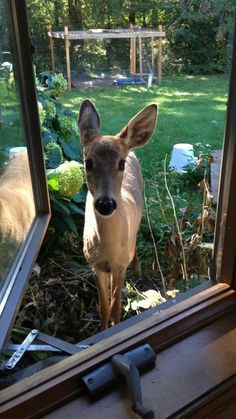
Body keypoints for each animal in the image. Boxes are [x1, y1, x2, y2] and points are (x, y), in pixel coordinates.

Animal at [78, 100, 158, 330]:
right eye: (88, 162)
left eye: (120, 163)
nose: (105, 204)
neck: (108, 249)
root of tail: (132, 148)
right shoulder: (95, 265)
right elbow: (104, 308)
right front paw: (103, 330)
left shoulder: (120, 266)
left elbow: (115, 307)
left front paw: (117, 325)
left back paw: (138, 270)